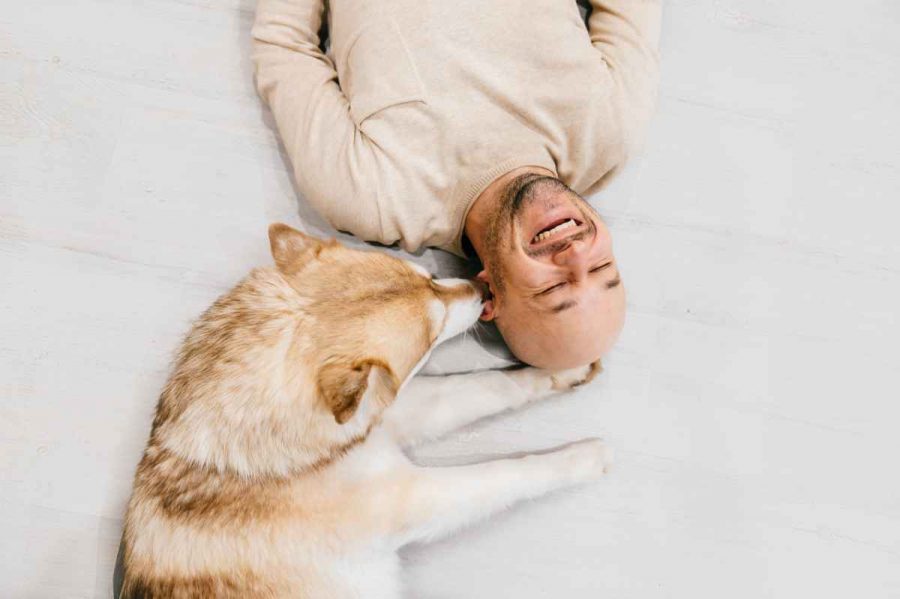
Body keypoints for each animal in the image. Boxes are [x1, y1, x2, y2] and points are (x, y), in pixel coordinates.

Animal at [118, 223, 612, 596]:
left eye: (430, 277)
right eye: (432, 335)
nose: (482, 285)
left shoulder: (393, 413)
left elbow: (491, 384)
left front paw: (559, 370)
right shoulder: (415, 497)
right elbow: (507, 473)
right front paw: (584, 458)